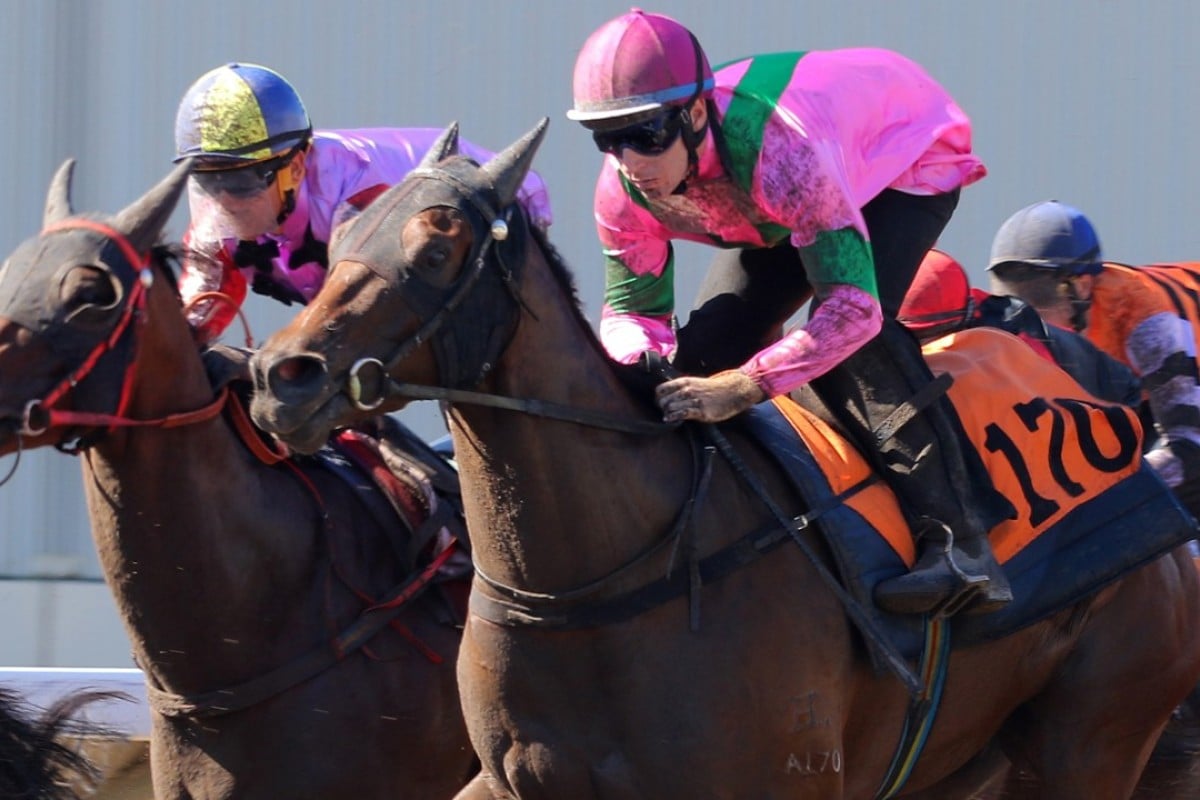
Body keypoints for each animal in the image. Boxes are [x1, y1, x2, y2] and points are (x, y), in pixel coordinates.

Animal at [248, 120, 1200, 800]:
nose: (281, 378)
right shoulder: (511, 780)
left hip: (1090, 737)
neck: (592, 578)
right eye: (340, 242)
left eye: (437, 248)